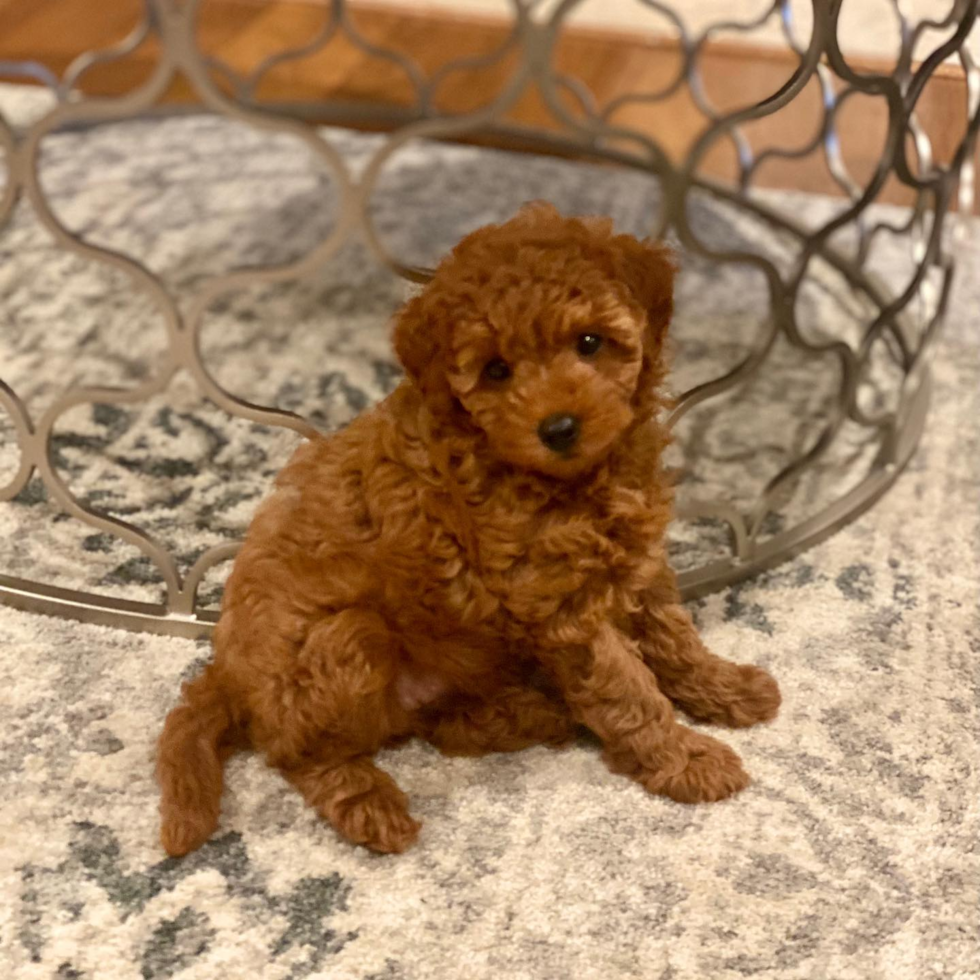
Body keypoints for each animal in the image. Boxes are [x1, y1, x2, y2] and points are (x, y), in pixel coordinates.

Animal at [159, 205, 780, 856]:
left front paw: (728, 688)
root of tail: (228, 675)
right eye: (496, 371)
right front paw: (687, 759)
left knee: (440, 728)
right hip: (347, 641)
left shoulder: (639, 562)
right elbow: (627, 689)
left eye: (589, 342)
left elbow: (675, 637)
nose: (559, 428)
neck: (561, 477)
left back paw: (530, 712)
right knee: (301, 752)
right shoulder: (559, 608)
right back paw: (372, 804)